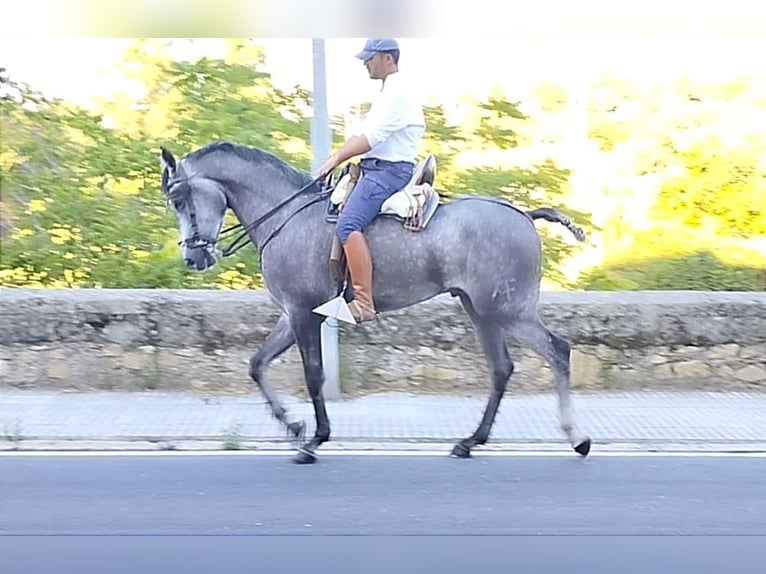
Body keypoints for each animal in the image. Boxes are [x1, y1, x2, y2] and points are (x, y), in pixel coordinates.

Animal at [159, 142, 592, 466]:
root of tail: (523, 214)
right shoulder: (293, 314)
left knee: (557, 350)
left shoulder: (302, 313)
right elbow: (257, 364)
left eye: (180, 199)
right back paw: (470, 441)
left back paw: (576, 436)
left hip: (507, 310)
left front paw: (314, 439)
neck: (287, 215)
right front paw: (293, 426)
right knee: (502, 368)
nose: (193, 257)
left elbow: (313, 376)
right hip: (480, 310)